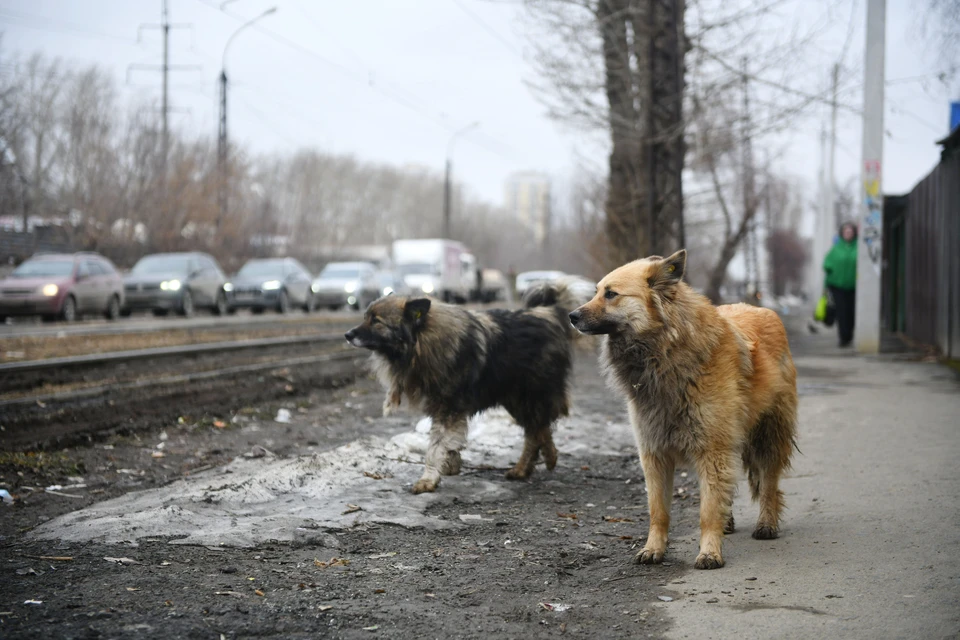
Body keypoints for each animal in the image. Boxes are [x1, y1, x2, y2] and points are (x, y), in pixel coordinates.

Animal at [344, 282, 584, 496]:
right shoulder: (446, 409)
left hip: (530, 395)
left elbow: (434, 447)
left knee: (539, 429)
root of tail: (549, 314)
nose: (347, 335)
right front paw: (450, 463)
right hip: (516, 399)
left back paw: (546, 457)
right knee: (536, 431)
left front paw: (428, 479)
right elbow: (449, 442)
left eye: (376, 321)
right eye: (365, 317)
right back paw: (525, 468)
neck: (422, 342)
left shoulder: (447, 407)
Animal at [568, 250, 800, 568]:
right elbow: (658, 511)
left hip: (769, 436)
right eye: (596, 292)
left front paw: (710, 552)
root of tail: (765, 310)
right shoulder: (654, 453)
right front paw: (654, 548)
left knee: (768, 484)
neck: (665, 353)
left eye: (611, 294)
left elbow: (707, 510)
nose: (571, 316)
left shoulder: (712, 450)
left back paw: (767, 523)